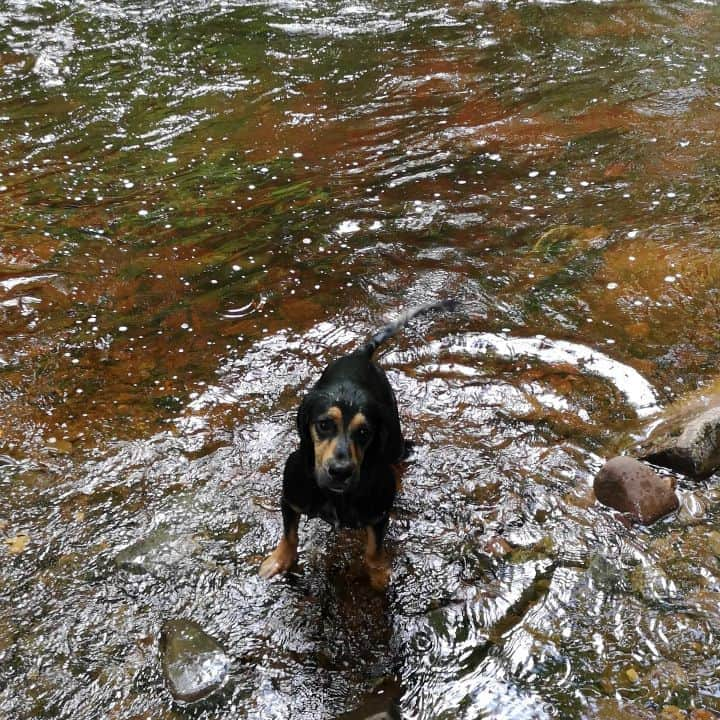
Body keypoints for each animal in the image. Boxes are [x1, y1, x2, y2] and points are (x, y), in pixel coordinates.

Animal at [260, 300, 456, 588]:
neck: (335, 496)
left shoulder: (378, 514)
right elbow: (289, 535)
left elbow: (374, 549)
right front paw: (279, 560)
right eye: (324, 425)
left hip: (395, 443)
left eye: (364, 432)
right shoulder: (291, 497)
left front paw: (379, 573)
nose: (340, 472)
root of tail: (360, 356)